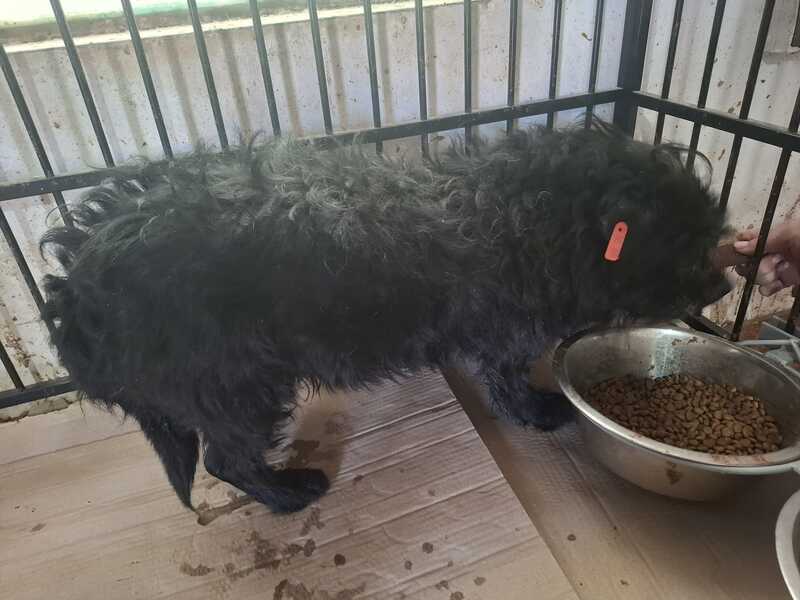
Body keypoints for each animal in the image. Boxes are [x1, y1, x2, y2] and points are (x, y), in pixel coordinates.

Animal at [40, 121, 730, 514]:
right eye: (688, 248)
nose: (725, 283)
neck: (540, 213)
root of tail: (80, 280)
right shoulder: (505, 332)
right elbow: (508, 382)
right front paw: (538, 410)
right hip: (234, 382)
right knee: (225, 461)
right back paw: (287, 495)